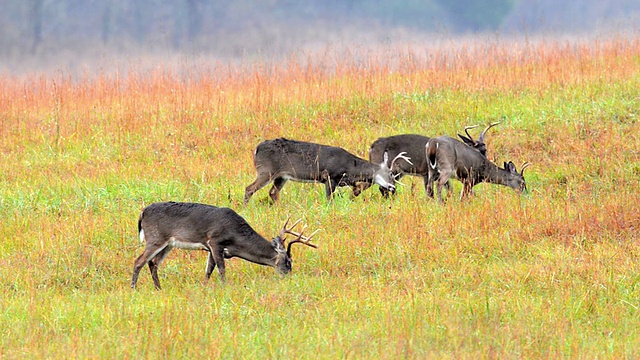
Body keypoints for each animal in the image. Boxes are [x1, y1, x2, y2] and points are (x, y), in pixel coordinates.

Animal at [131, 202, 318, 290]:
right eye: (288, 261)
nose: (288, 277)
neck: (236, 237)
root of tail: (142, 212)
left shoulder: (211, 248)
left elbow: (209, 269)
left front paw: (205, 287)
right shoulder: (215, 241)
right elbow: (221, 269)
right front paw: (224, 287)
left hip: (168, 244)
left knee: (153, 263)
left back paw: (158, 288)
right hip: (156, 237)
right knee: (139, 261)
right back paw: (133, 288)